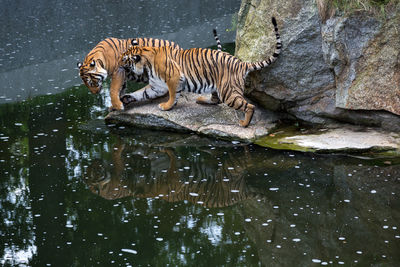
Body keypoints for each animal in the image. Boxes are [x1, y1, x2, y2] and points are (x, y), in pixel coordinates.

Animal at [76, 31, 225, 111]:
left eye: (92, 82)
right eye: (86, 84)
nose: (95, 93)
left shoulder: (119, 70)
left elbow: (113, 89)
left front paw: (117, 104)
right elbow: (121, 89)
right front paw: (116, 104)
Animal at [119, 17, 282, 127]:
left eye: (125, 58)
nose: (118, 63)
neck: (146, 64)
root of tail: (241, 62)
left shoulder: (174, 78)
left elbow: (172, 95)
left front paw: (166, 106)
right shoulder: (156, 86)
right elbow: (142, 93)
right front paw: (126, 98)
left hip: (228, 91)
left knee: (249, 106)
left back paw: (244, 123)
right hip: (218, 86)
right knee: (216, 100)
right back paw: (202, 99)